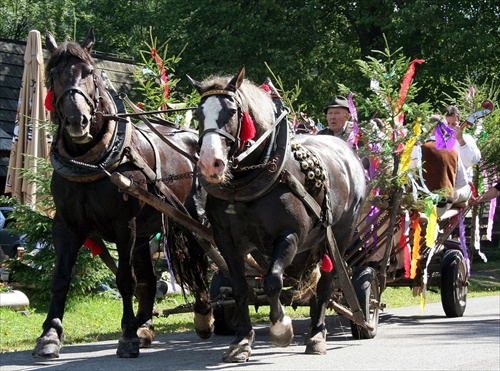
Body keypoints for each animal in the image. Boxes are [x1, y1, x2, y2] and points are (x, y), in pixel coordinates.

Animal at [30, 29, 211, 360]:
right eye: (53, 74)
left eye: (89, 72)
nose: (77, 121)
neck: (90, 162)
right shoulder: (66, 225)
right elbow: (60, 278)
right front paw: (50, 335)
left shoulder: (124, 225)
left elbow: (126, 280)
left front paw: (126, 336)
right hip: (145, 233)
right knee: (150, 281)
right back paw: (145, 326)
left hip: (191, 220)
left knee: (202, 263)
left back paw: (204, 314)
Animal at [189, 67, 366, 364]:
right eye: (198, 114)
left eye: (232, 112)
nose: (210, 164)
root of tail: (347, 152)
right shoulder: (227, 241)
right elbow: (240, 288)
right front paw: (242, 341)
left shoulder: (290, 236)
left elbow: (273, 281)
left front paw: (281, 328)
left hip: (339, 235)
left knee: (327, 283)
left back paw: (318, 335)